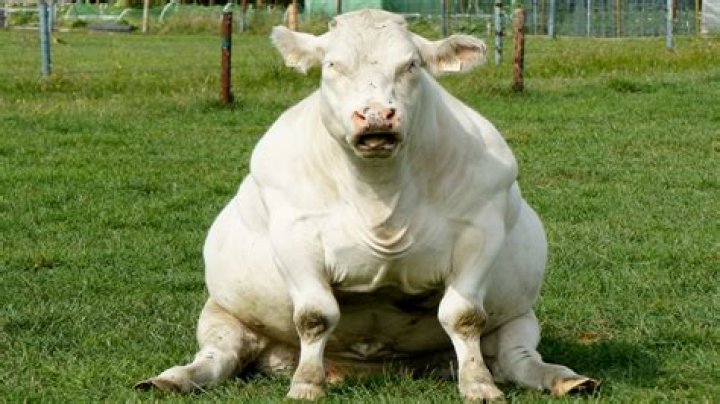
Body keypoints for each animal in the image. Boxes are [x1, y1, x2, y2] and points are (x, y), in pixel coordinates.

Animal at [135, 9, 598, 401]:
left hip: (520, 319)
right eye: (332, 65)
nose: (376, 115)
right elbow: (314, 316)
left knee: (518, 358)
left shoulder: (480, 231)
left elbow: (465, 316)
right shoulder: (294, 236)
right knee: (220, 356)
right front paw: (306, 385)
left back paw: (566, 379)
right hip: (222, 314)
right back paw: (171, 379)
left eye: (411, 64)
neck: (381, 195)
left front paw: (479, 386)